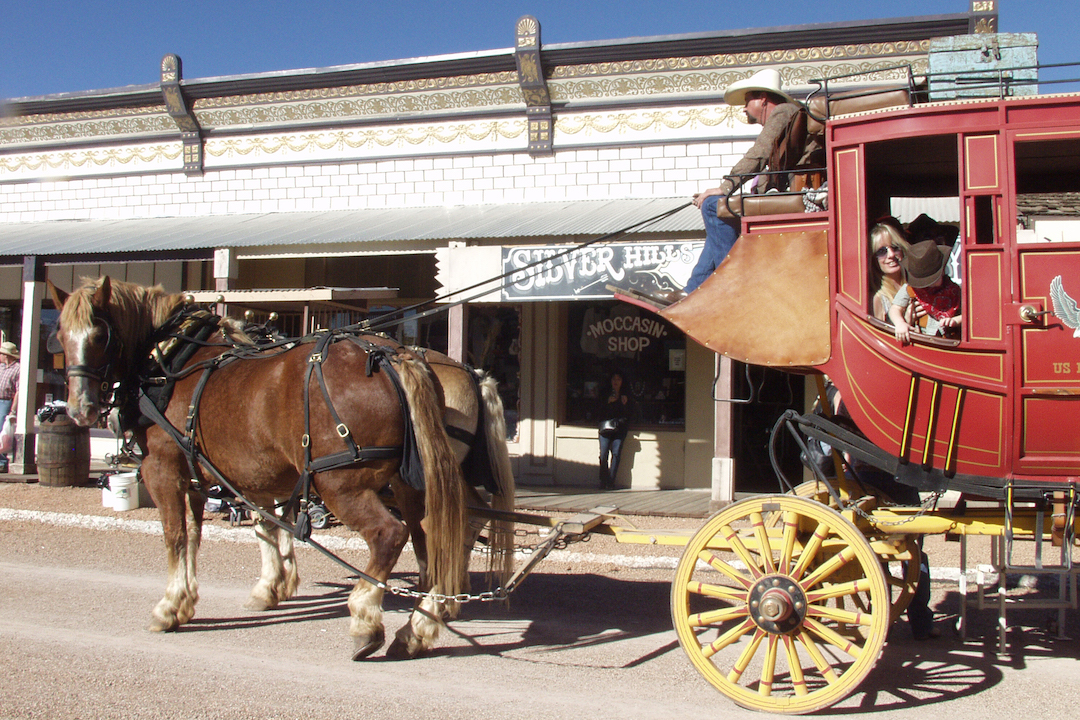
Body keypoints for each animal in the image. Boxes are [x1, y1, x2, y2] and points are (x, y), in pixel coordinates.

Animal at [49, 276, 468, 660]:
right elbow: (233, 531)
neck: (171, 361)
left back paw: (366, 619)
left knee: (389, 535)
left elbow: (176, 537)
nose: (80, 408)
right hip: (409, 484)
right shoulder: (219, 477)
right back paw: (417, 628)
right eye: (61, 335)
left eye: (100, 335)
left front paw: (169, 607)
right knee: (433, 539)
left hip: (341, 485)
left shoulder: (163, 470)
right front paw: (252, 590)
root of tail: (390, 355)